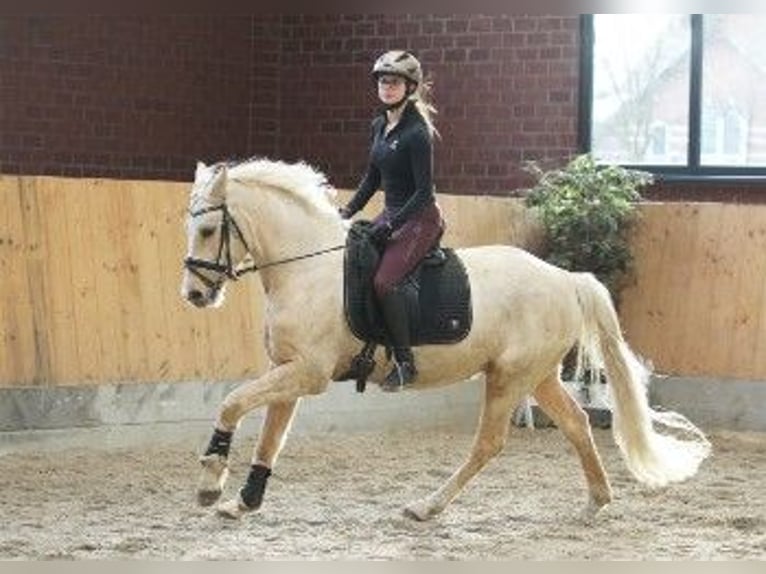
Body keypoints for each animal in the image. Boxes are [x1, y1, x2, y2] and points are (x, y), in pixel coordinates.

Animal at [180, 158, 712, 520]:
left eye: (207, 229)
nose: (194, 295)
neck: (308, 268)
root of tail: (565, 279)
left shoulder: (308, 374)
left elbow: (232, 403)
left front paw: (210, 480)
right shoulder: (288, 370)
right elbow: (270, 436)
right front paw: (243, 501)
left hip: (509, 378)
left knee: (489, 444)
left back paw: (427, 506)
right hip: (537, 376)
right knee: (578, 423)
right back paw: (597, 500)